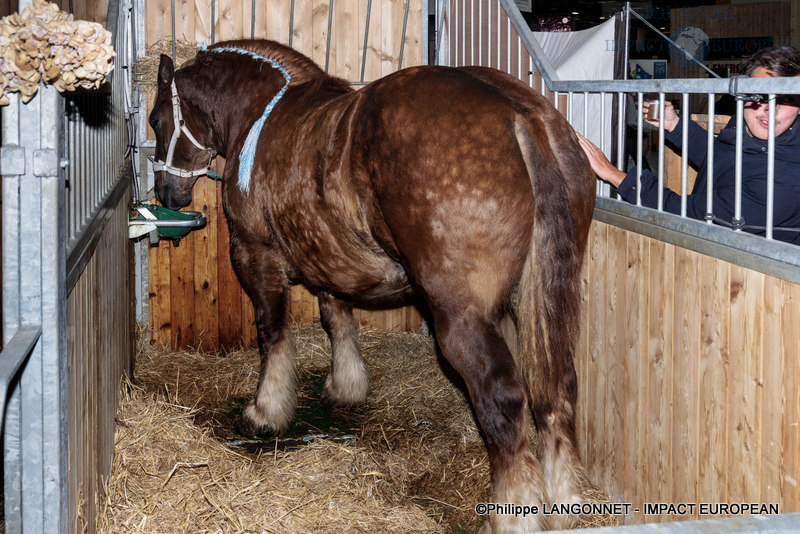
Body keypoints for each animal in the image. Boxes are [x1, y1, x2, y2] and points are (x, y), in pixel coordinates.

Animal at [150, 39, 596, 532]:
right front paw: (345, 387)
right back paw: (564, 502)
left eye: (156, 120)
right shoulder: (327, 257)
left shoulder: (255, 255)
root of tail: (519, 114)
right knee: (558, 392)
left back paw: (512, 515)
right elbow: (337, 319)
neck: (262, 114)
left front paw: (265, 412)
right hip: (542, 303)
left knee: (504, 399)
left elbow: (273, 335)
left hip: (461, 316)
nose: (166, 194)